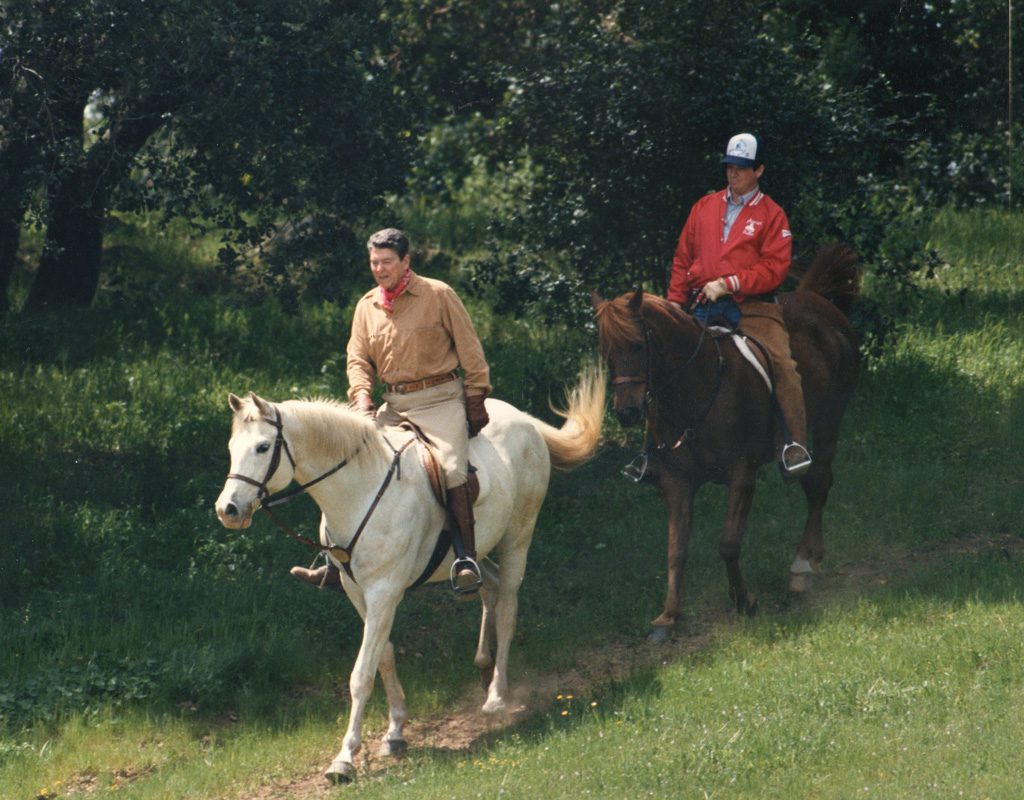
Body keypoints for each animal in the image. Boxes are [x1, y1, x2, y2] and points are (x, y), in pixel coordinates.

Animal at [212, 366, 602, 778]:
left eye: (262, 447)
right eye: (232, 448)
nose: (228, 510)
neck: (361, 489)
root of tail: (524, 420)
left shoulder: (384, 592)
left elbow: (362, 673)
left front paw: (344, 759)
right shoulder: (357, 592)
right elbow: (383, 655)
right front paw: (395, 731)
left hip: (517, 537)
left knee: (509, 605)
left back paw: (496, 697)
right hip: (477, 551)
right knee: (489, 587)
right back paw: (483, 663)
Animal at [598, 244, 860, 643]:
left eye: (637, 344)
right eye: (604, 351)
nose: (627, 412)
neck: (695, 388)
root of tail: (817, 301)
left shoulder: (742, 472)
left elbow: (728, 543)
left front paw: (744, 601)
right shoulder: (676, 482)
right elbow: (676, 548)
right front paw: (668, 617)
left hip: (831, 416)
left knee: (818, 482)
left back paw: (802, 565)